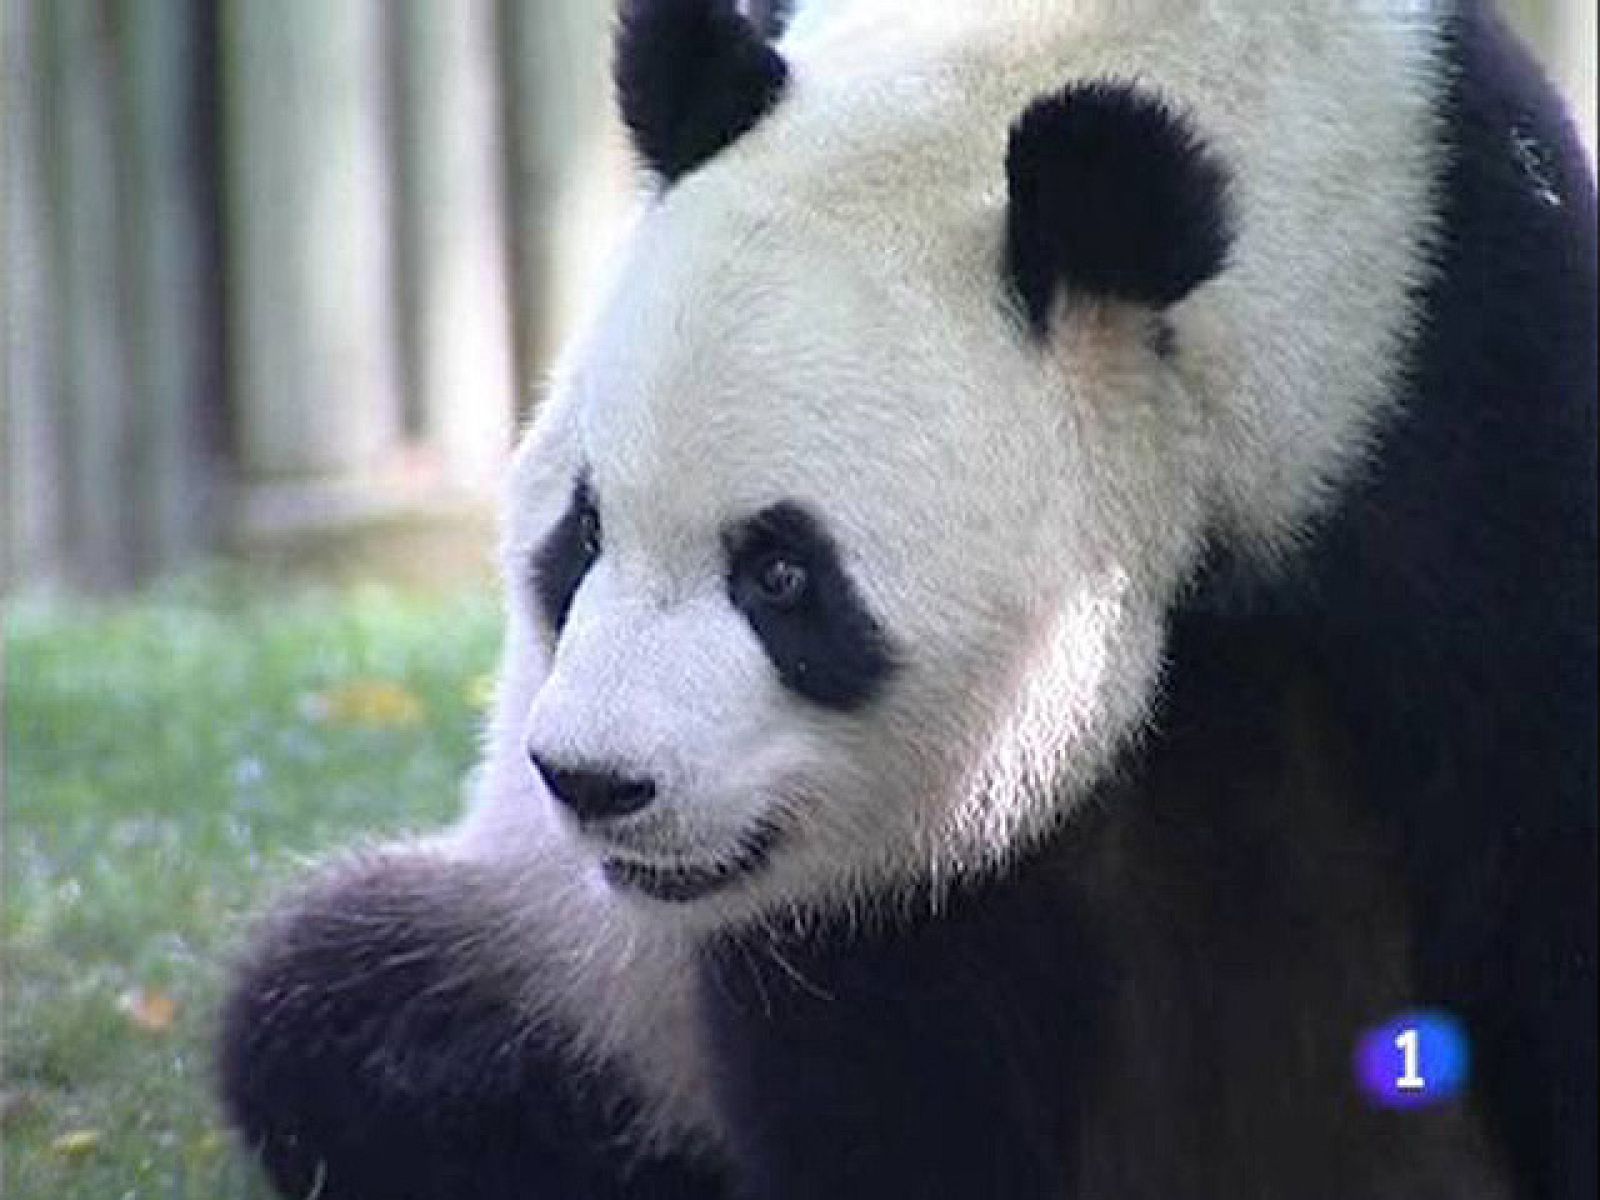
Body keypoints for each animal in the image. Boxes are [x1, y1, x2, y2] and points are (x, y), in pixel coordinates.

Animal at [218, 1, 1596, 1197]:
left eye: (781, 575)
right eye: (583, 533)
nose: (595, 782)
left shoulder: (1451, 389)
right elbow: (878, 1036)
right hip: (575, 972)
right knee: (347, 1013)